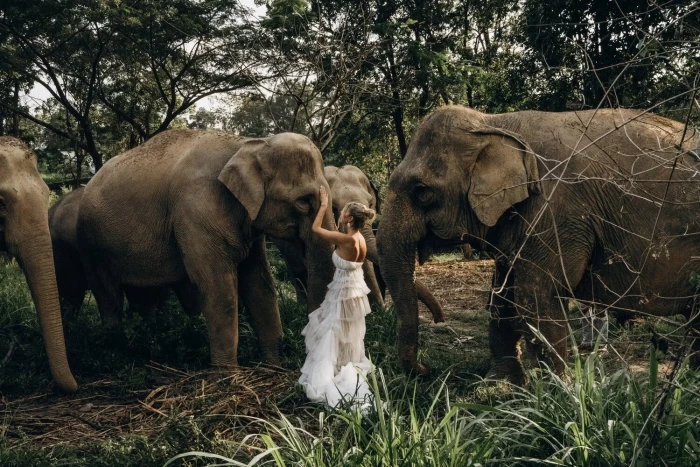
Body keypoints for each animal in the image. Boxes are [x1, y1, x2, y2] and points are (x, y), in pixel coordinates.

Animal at [74, 130, 336, 368]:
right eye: (303, 200)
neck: (248, 143)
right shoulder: (197, 209)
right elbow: (218, 286)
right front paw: (228, 378)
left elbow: (260, 283)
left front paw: (273, 368)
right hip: (91, 246)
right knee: (108, 297)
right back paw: (117, 354)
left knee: (143, 298)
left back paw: (148, 348)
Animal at [378, 106, 700, 384]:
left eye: (421, 191)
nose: (426, 369)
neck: (493, 122)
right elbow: (502, 295)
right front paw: (498, 383)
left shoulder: (556, 214)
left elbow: (534, 293)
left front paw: (557, 390)